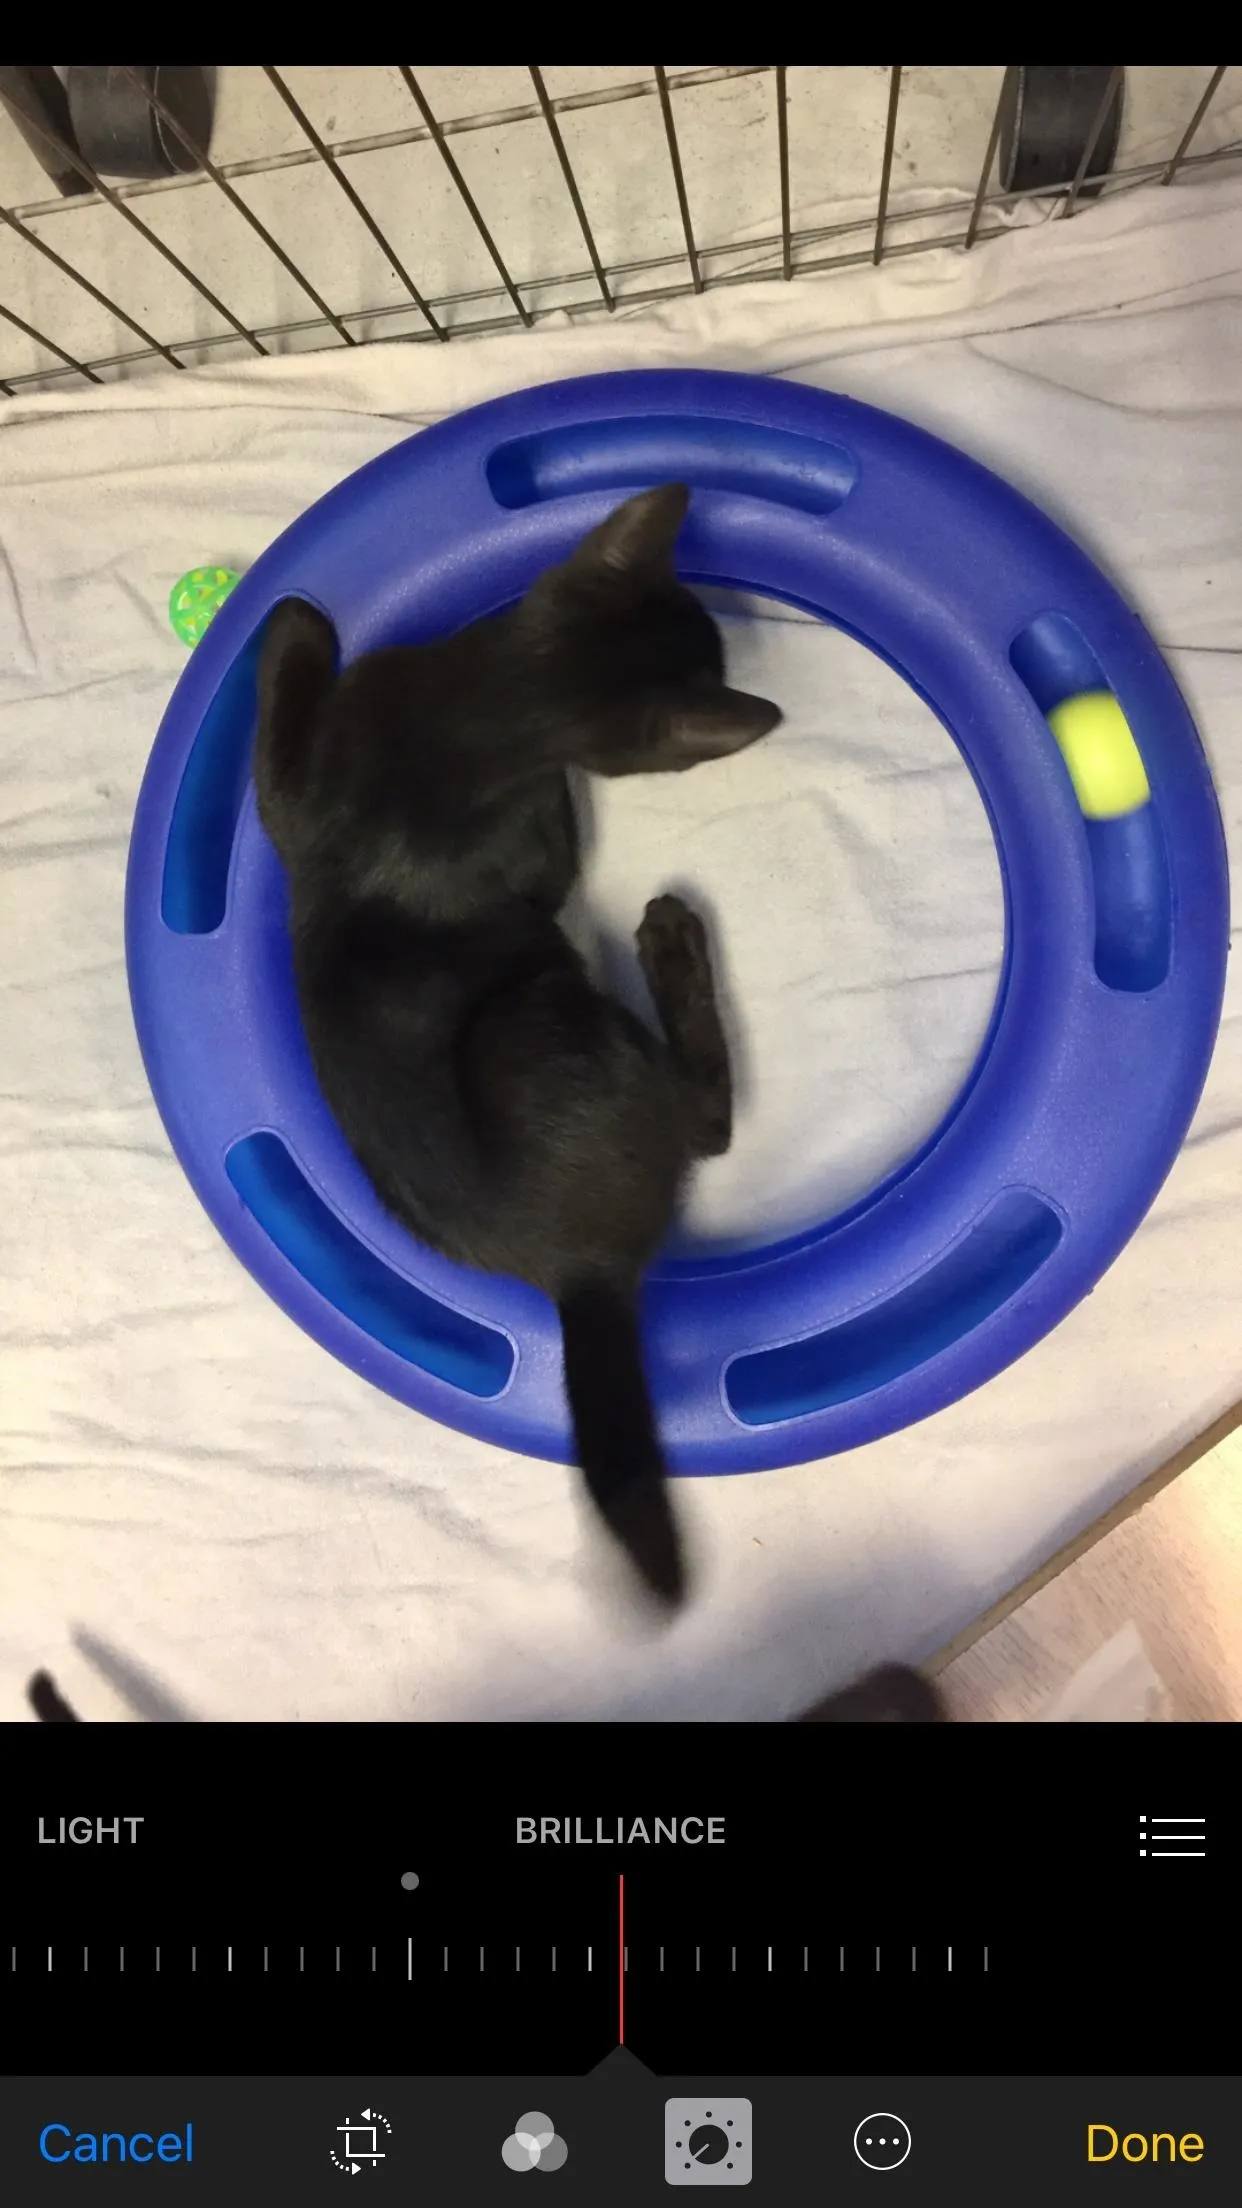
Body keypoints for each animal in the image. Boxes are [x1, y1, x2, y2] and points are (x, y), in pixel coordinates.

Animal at [251, 487, 777, 1607]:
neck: (484, 709)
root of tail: (579, 1270)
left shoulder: (302, 792)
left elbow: (273, 743)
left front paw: (290, 619)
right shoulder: (536, 851)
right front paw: (295, 616)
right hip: (537, 1011)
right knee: (703, 1129)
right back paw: (672, 944)